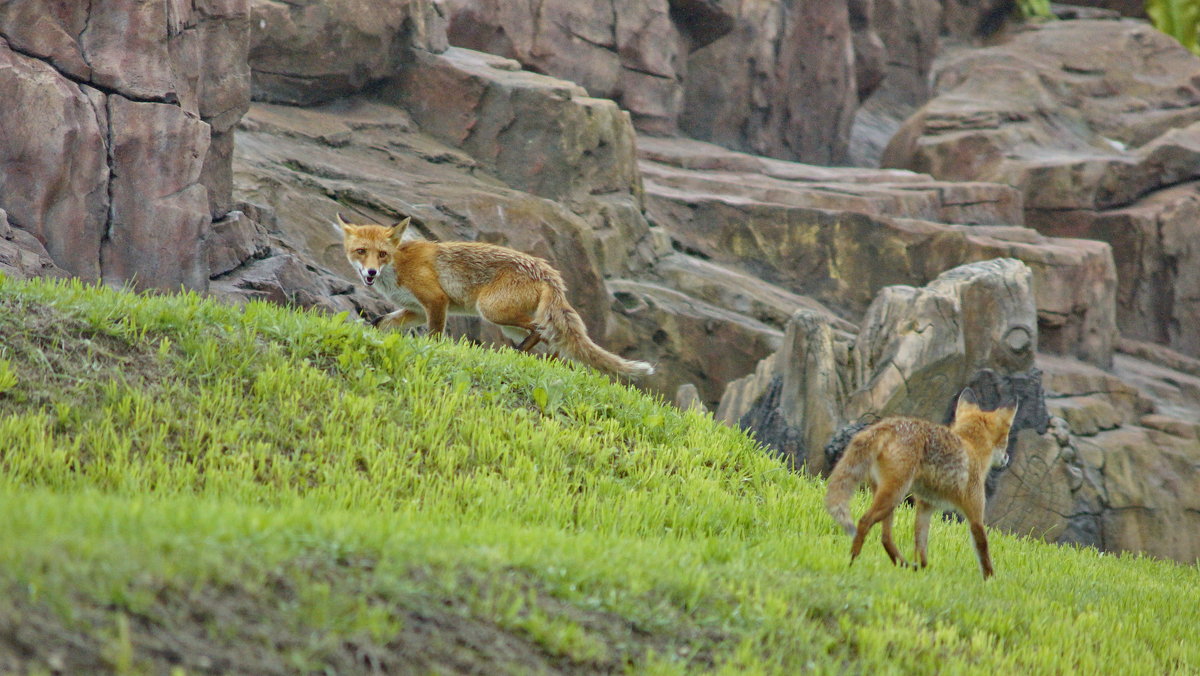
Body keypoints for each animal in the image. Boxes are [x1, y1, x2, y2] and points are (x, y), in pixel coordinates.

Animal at [338, 213, 657, 379]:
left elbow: (435, 337)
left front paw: (433, 352)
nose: (370, 273)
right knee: (550, 340)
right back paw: (540, 363)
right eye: (361, 252)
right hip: (508, 324)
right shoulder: (415, 309)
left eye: (382, 254)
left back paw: (521, 356)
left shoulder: (436, 301)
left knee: (543, 329)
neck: (399, 265)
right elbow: (380, 324)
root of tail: (548, 271)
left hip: (491, 310)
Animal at [825, 393, 1022, 578]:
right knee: (865, 522)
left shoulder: (925, 506)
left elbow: (921, 546)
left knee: (885, 537)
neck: (971, 448)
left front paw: (922, 570)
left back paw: (904, 564)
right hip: (894, 495)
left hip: (888, 498)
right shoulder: (975, 513)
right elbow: (983, 550)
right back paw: (852, 561)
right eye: (1006, 439)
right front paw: (990, 581)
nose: (1007, 458)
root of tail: (888, 424)